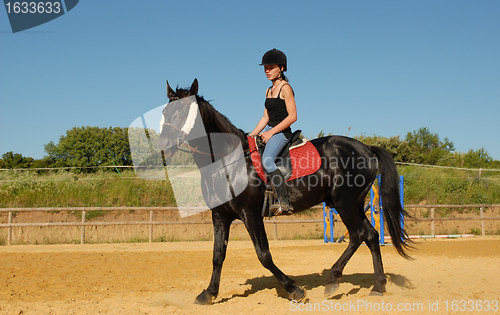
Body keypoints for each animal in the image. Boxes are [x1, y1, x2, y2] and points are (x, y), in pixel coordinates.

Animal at [158, 79, 412, 306]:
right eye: (165, 112)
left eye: (183, 111)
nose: (163, 146)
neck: (226, 162)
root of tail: (366, 148)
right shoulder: (220, 216)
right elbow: (217, 255)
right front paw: (209, 293)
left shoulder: (250, 215)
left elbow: (263, 255)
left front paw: (294, 289)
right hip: (353, 204)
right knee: (371, 235)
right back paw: (377, 286)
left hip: (345, 204)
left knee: (358, 234)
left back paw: (333, 280)